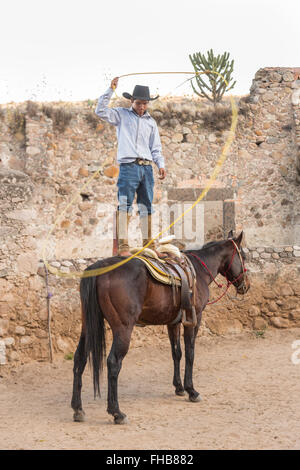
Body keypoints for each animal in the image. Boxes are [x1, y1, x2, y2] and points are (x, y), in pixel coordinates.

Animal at [70, 230, 248, 422]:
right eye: (244, 256)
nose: (246, 285)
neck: (199, 272)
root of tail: (100, 267)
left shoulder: (173, 323)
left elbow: (176, 353)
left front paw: (179, 387)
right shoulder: (194, 320)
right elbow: (190, 353)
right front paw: (191, 390)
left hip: (87, 327)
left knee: (79, 358)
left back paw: (78, 409)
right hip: (123, 329)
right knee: (113, 363)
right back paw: (116, 412)